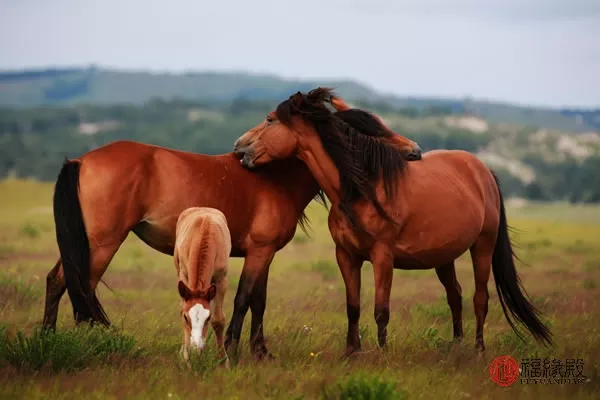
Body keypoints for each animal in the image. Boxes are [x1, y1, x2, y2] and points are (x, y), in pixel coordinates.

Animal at [45, 133, 422, 358]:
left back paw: (48, 339)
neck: (276, 177)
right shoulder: (260, 251)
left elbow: (259, 300)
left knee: (56, 281)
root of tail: (82, 161)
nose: (414, 151)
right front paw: (236, 348)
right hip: (101, 245)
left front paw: (260, 350)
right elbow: (245, 298)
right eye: (370, 130)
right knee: (77, 286)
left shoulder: (263, 253)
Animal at [231, 87, 552, 356]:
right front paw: (351, 352)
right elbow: (353, 306)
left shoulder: (383, 257)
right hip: (444, 257)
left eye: (270, 120)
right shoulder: (346, 256)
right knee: (455, 296)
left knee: (480, 299)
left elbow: (380, 309)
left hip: (482, 248)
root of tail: (483, 170)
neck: (361, 191)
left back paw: (478, 350)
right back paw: (456, 345)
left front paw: (382, 354)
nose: (240, 148)